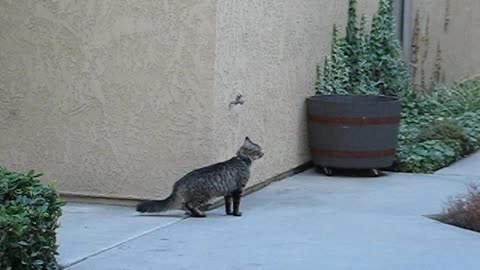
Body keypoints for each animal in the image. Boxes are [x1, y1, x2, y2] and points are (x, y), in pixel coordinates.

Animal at [134, 137, 262, 217]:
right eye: (258, 150)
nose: (263, 153)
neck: (242, 159)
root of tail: (178, 184)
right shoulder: (238, 189)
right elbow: (236, 204)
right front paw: (236, 214)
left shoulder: (228, 192)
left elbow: (228, 205)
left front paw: (229, 213)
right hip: (204, 195)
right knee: (189, 205)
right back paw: (200, 214)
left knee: (185, 205)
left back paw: (193, 214)